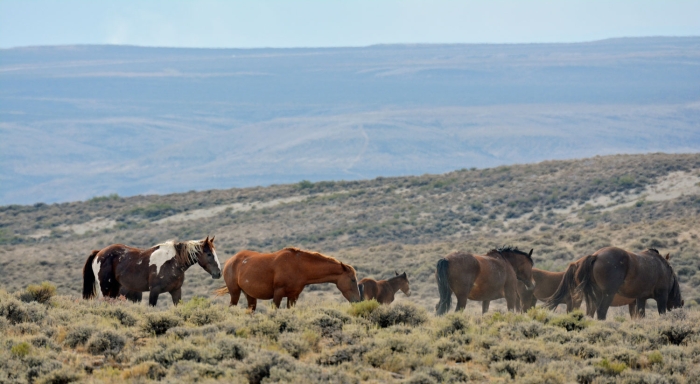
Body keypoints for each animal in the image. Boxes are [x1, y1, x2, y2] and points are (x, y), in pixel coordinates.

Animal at [83, 236, 223, 308]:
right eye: (209, 254)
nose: (219, 273)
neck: (173, 262)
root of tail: (99, 253)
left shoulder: (176, 291)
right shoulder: (154, 291)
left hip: (114, 290)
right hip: (105, 289)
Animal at [215, 246, 360, 312]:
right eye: (353, 279)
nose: (357, 300)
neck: (298, 266)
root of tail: (230, 261)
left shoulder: (293, 296)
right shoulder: (278, 293)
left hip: (250, 296)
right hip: (235, 293)